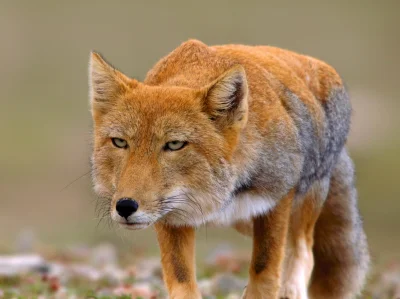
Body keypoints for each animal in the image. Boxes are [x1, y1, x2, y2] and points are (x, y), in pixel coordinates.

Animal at [89, 40, 370, 299]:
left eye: (174, 145)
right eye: (120, 142)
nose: (125, 207)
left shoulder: (276, 199)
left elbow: (264, 271)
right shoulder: (173, 217)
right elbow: (181, 280)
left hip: (303, 205)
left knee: (303, 251)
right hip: (247, 222)